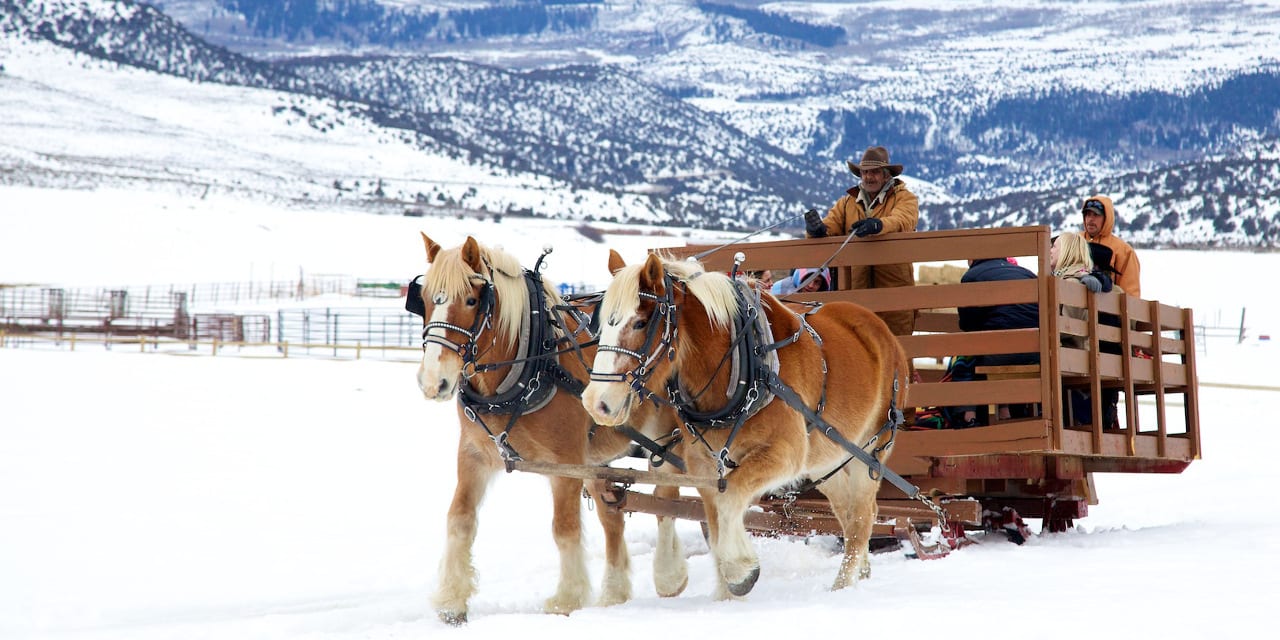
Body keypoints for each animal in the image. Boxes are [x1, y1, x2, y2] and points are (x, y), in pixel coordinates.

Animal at [417, 232, 691, 622]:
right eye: (424, 298)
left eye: (471, 300)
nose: (433, 381)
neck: (532, 363)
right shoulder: (473, 455)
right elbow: (460, 518)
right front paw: (452, 601)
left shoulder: (565, 463)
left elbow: (564, 528)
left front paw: (567, 599)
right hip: (597, 460)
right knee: (614, 516)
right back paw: (614, 592)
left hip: (670, 440)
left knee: (669, 498)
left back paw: (671, 574)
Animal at [583, 250, 911, 599]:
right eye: (600, 326)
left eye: (641, 323)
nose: (596, 402)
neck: (743, 366)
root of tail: (880, 328)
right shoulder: (703, 466)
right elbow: (715, 524)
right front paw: (723, 595)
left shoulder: (784, 453)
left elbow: (731, 498)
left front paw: (740, 568)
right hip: (826, 459)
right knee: (849, 513)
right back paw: (861, 571)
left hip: (870, 451)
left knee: (862, 516)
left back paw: (842, 584)